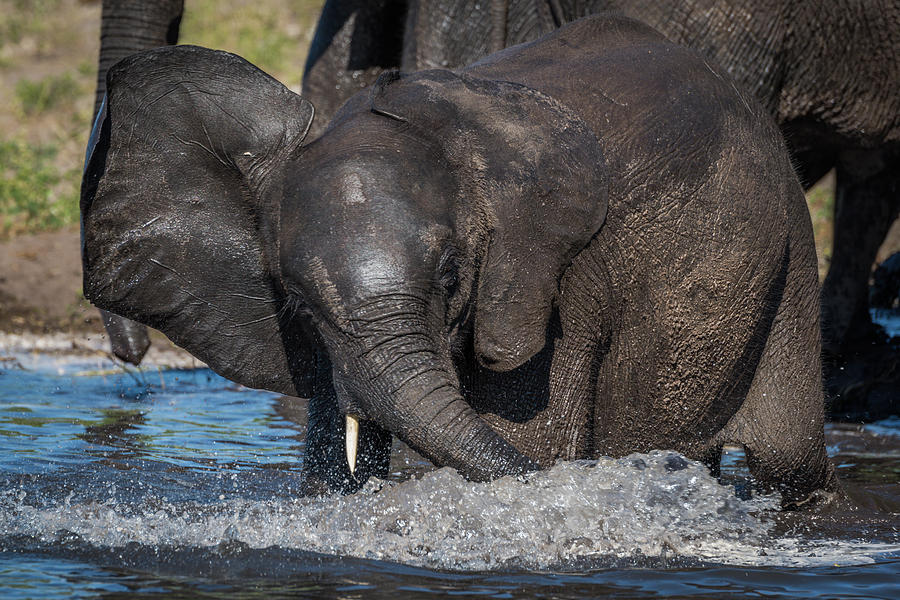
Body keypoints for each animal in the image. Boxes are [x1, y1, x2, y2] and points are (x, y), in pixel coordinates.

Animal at [82, 14, 836, 504]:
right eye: (296, 303)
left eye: (451, 277)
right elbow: (332, 464)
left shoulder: (552, 287)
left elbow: (534, 443)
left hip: (779, 241)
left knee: (781, 453)